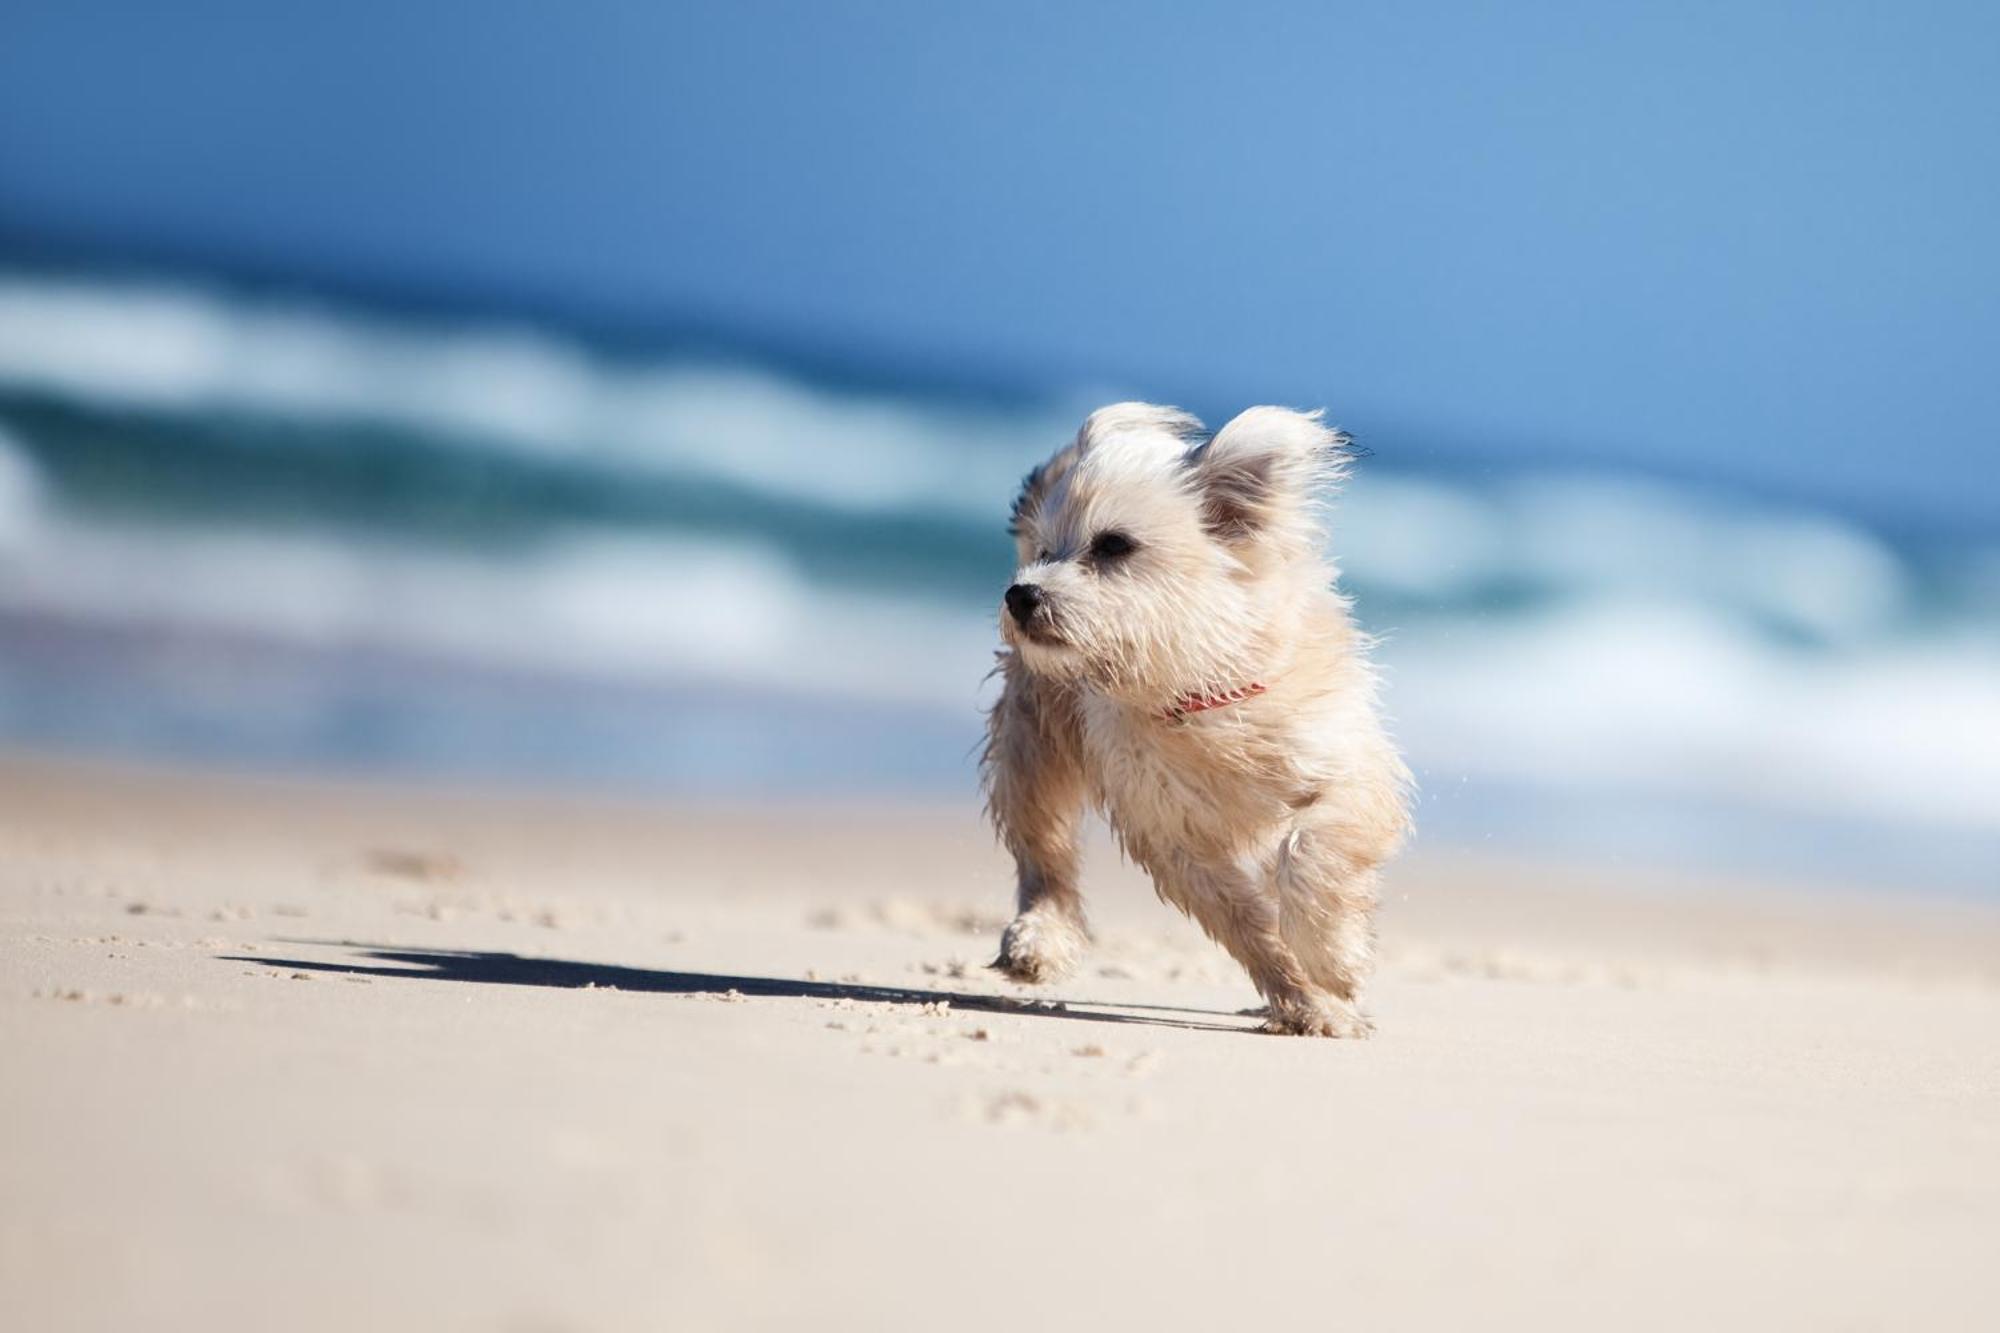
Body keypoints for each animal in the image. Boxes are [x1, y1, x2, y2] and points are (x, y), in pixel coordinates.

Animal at [980, 400, 1408, 1032]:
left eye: (1113, 545)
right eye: (1044, 551)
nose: (1021, 595)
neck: (1199, 697)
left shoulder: (1346, 768)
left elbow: (1310, 854)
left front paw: (1334, 960)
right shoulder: (1174, 836)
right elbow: (1247, 923)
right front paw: (1311, 1000)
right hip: (1032, 749)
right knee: (1045, 854)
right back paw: (1039, 937)